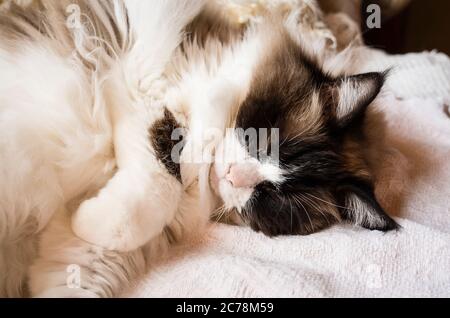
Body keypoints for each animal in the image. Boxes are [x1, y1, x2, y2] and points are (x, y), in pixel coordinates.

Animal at [0, 0, 398, 298]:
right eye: (267, 144)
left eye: (273, 196)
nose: (234, 176)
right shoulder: (144, 86)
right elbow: (158, 186)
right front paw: (93, 218)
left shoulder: (94, 254)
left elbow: (91, 256)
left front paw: (86, 220)